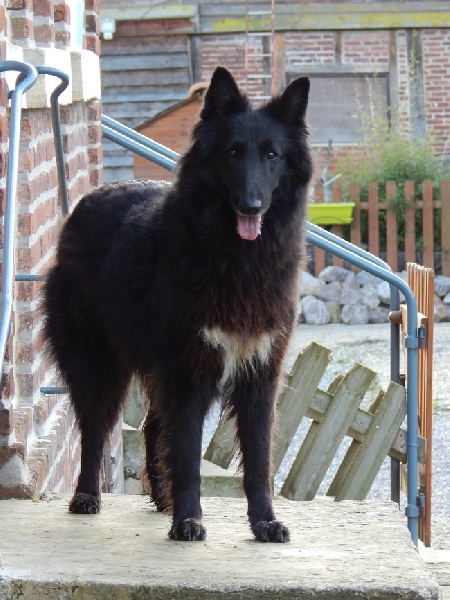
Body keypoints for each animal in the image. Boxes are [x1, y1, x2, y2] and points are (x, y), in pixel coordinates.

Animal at [43, 68, 312, 540]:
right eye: (233, 152)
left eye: (272, 155)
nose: (251, 206)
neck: (237, 259)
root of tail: (83, 203)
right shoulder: (189, 372)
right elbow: (187, 454)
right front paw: (188, 519)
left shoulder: (259, 374)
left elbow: (258, 460)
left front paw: (264, 522)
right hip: (97, 365)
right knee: (93, 431)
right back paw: (88, 497)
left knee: (153, 426)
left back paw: (161, 500)